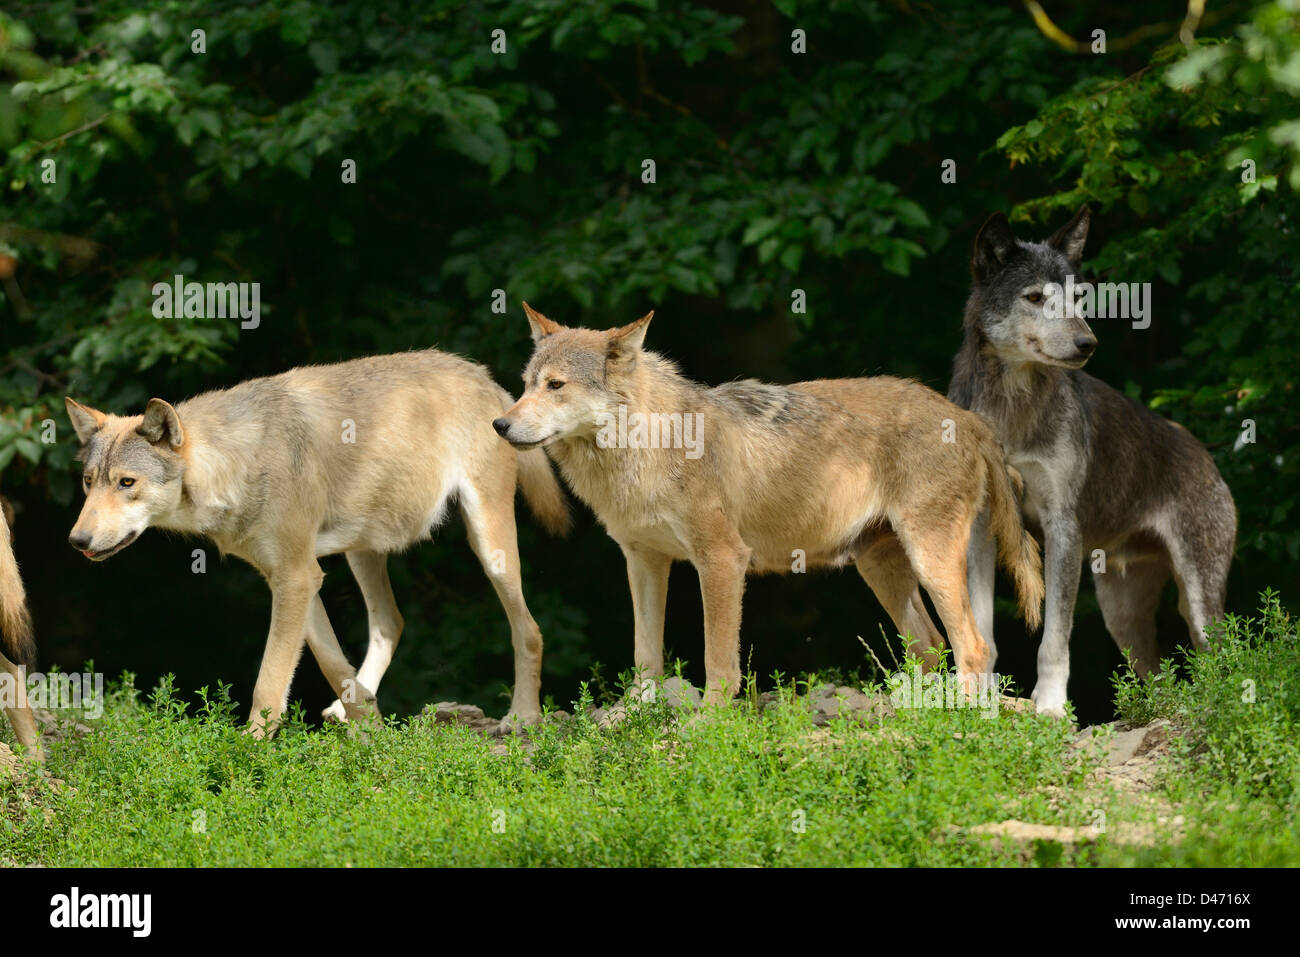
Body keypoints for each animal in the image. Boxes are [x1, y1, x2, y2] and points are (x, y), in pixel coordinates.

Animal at [65, 350, 569, 735]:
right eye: (89, 482)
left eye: (126, 482)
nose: (76, 540)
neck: (234, 462)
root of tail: (485, 377)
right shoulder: (292, 578)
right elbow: (330, 663)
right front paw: (368, 724)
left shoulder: (296, 577)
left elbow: (268, 683)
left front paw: (247, 752)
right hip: (362, 550)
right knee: (391, 622)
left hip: (489, 548)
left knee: (530, 630)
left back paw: (522, 719)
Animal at [494, 304, 1043, 702]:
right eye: (524, 385)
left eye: (556, 385)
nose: (500, 424)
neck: (649, 446)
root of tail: (967, 418)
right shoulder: (643, 561)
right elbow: (645, 656)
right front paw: (636, 719)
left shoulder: (721, 560)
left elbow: (719, 662)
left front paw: (707, 726)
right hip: (882, 571)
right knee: (931, 647)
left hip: (930, 562)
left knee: (975, 647)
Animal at [949, 206, 1237, 717]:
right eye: (1036, 297)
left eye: (1079, 297)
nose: (1089, 343)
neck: (1012, 406)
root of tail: (1203, 452)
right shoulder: (983, 528)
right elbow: (982, 632)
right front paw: (980, 705)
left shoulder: (1063, 527)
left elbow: (1053, 639)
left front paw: (1050, 708)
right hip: (1122, 615)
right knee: (1158, 676)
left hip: (1199, 606)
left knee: (1218, 661)